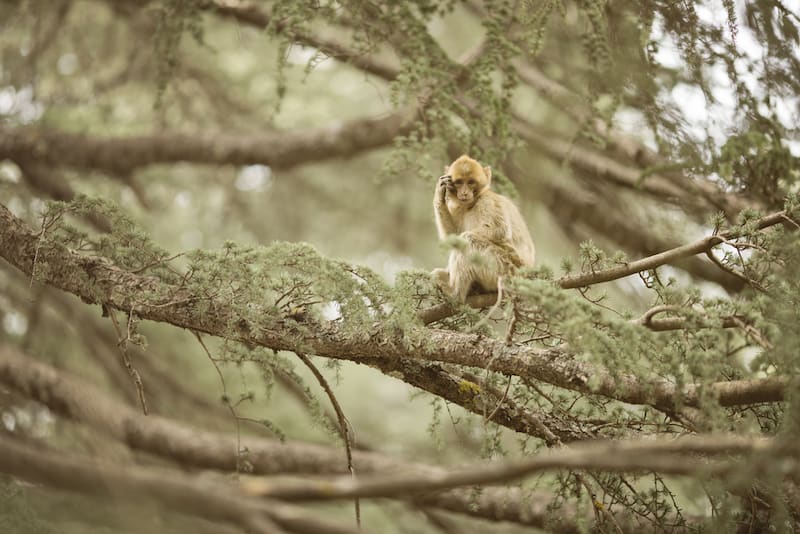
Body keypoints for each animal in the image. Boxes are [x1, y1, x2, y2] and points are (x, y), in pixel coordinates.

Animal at [434, 157, 536, 304]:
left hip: (504, 271)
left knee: (468, 240)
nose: (464, 193)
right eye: (459, 182)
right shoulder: (459, 209)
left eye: (471, 182)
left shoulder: (487, 201)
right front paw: (440, 193)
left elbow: (499, 231)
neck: (472, 204)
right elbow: (452, 236)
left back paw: (455, 294)